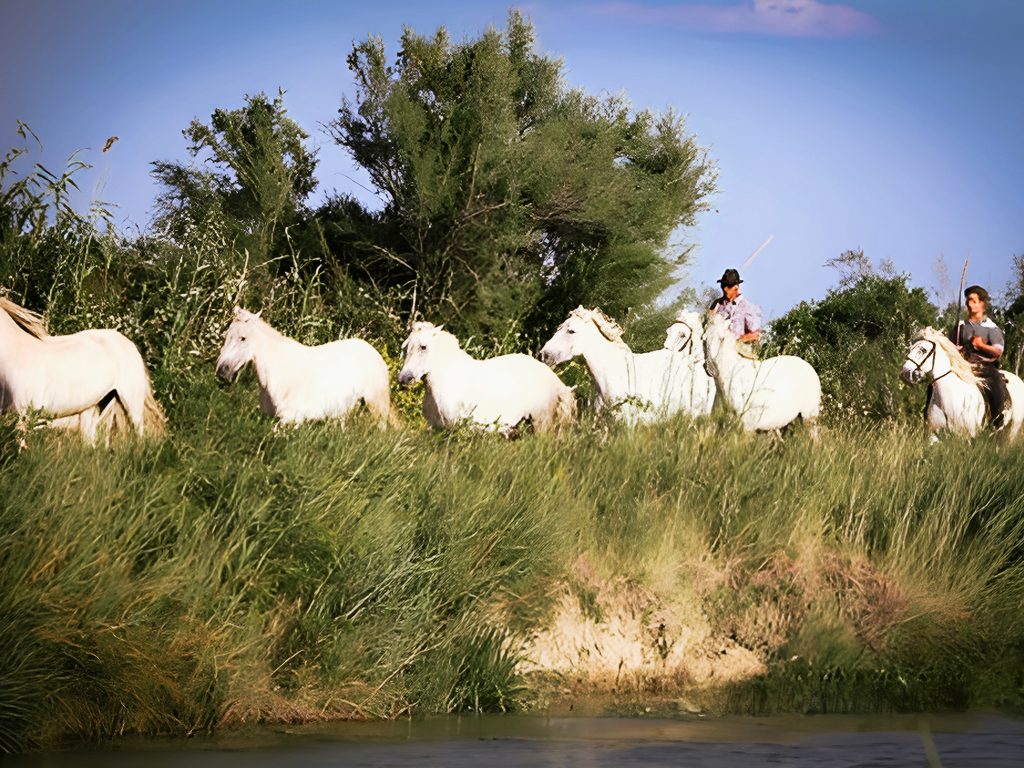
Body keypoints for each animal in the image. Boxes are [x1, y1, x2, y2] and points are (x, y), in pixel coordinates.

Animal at [215, 307, 399, 428]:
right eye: (227, 335)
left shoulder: (290, 420)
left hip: (376, 406)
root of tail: (376, 355)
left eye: (243, 338)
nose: (222, 372)